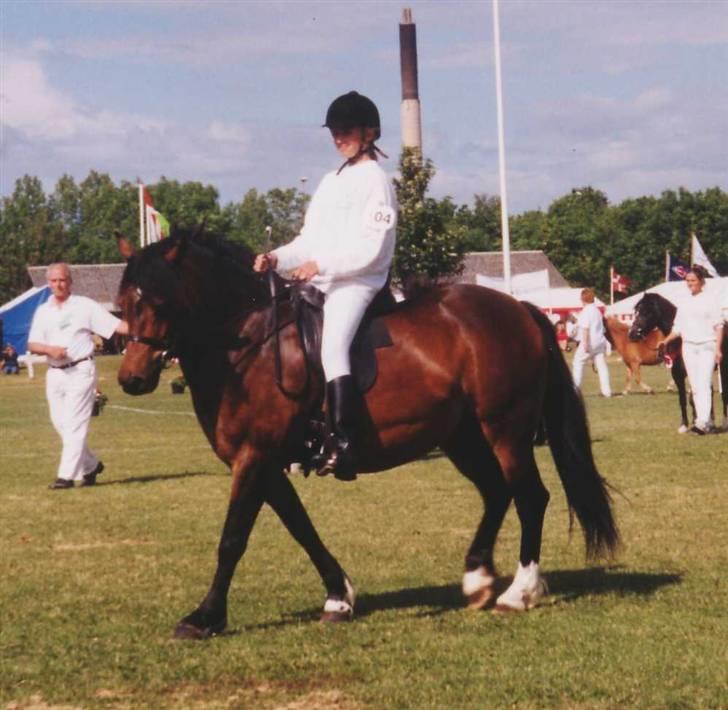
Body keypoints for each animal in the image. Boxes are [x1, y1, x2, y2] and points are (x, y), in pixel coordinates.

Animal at [116, 232, 616, 640]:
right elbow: (301, 528)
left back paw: (519, 592)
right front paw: (339, 597)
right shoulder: (265, 463)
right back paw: (478, 578)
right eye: (122, 304)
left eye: (159, 302)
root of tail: (519, 309)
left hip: (505, 431)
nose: (132, 380)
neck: (249, 343)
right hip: (462, 437)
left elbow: (232, 539)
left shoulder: (254, 458)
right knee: (497, 493)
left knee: (530, 496)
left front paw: (204, 617)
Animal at [632, 294, 728, 434]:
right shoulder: (677, 374)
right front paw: (685, 425)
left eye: (646, 312)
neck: (679, 341)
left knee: (723, 394)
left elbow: (693, 398)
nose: (632, 334)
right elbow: (684, 399)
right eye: (636, 312)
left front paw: (699, 423)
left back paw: (723, 423)